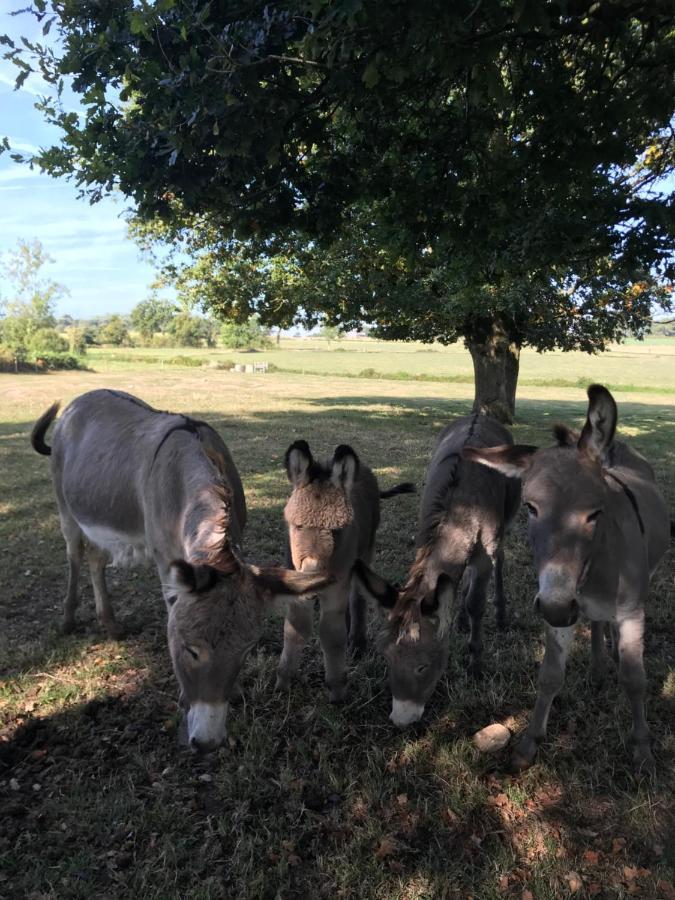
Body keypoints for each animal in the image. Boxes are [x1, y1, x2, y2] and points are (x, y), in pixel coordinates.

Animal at [31, 390, 330, 748]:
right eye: (189, 649)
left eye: (245, 652)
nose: (207, 742)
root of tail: (81, 400)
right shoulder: (166, 563)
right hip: (66, 508)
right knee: (75, 556)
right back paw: (68, 619)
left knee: (95, 561)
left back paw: (111, 624)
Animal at [276, 442, 414, 704]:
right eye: (297, 526)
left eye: (337, 530)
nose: (313, 579)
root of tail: (364, 469)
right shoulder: (296, 583)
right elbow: (295, 627)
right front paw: (283, 682)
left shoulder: (336, 584)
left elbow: (331, 633)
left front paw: (337, 691)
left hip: (365, 552)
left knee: (357, 597)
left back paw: (357, 643)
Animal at [354, 414, 516, 724]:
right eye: (386, 657)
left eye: (423, 665)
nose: (400, 719)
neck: (461, 509)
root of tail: (479, 415)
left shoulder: (486, 550)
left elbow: (477, 602)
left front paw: (476, 665)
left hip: (508, 516)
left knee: (501, 559)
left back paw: (501, 615)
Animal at [464, 384, 672, 768]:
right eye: (530, 507)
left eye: (595, 513)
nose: (559, 607)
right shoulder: (557, 606)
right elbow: (549, 676)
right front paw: (529, 744)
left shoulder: (631, 612)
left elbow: (635, 679)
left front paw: (642, 749)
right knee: (597, 623)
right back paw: (597, 668)